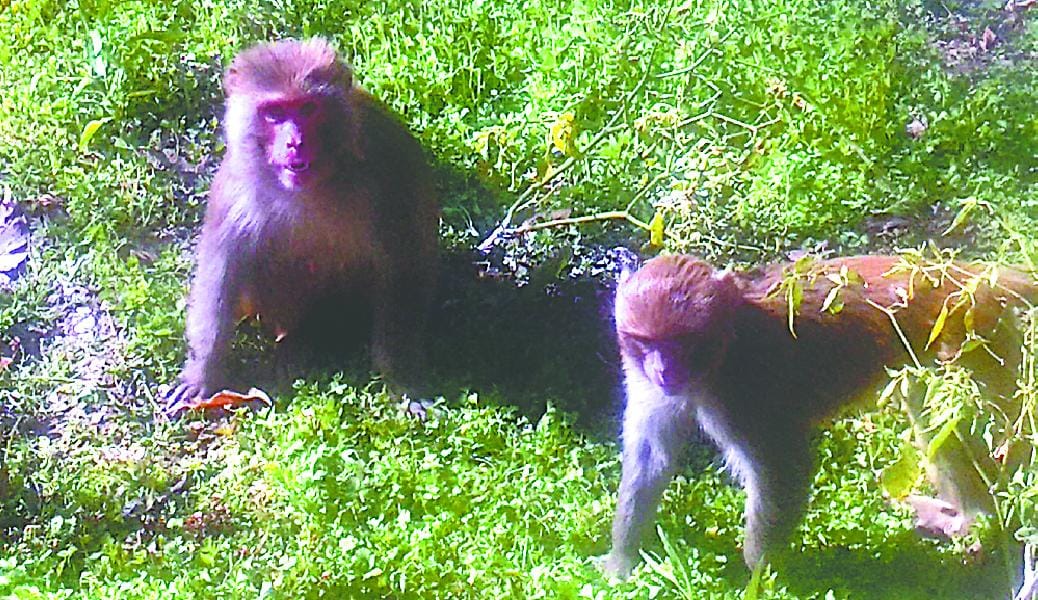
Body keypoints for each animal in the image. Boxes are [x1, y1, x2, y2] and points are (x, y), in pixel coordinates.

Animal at [165, 38, 438, 415]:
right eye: (275, 113)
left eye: (308, 108)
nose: (295, 142)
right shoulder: (235, 190)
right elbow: (221, 271)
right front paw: (201, 372)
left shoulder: (389, 174)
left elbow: (402, 270)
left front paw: (403, 380)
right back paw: (296, 342)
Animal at [603, 254, 1036, 577]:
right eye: (646, 342)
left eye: (681, 341)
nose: (664, 370)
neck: (726, 338)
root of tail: (971, 276)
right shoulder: (645, 380)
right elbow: (651, 457)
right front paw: (620, 564)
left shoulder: (744, 390)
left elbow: (782, 469)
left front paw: (761, 576)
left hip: (972, 342)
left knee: (953, 416)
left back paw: (974, 519)